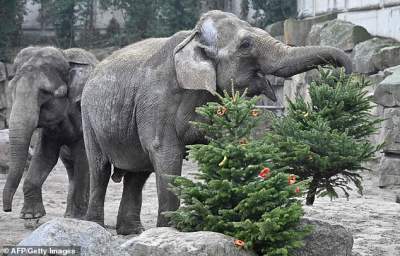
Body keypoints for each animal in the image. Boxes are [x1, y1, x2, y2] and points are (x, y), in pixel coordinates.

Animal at [2, 47, 97, 219]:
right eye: (11, 88)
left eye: (45, 92)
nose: (7, 209)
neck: (67, 58)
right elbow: (45, 156)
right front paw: (30, 216)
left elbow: (84, 158)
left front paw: (79, 218)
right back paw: (69, 215)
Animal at [81, 10, 350, 235]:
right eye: (246, 45)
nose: (343, 75)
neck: (193, 38)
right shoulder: (156, 100)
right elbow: (165, 153)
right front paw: (170, 230)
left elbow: (221, 146)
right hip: (87, 115)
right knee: (101, 168)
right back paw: (96, 226)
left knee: (138, 173)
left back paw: (132, 232)